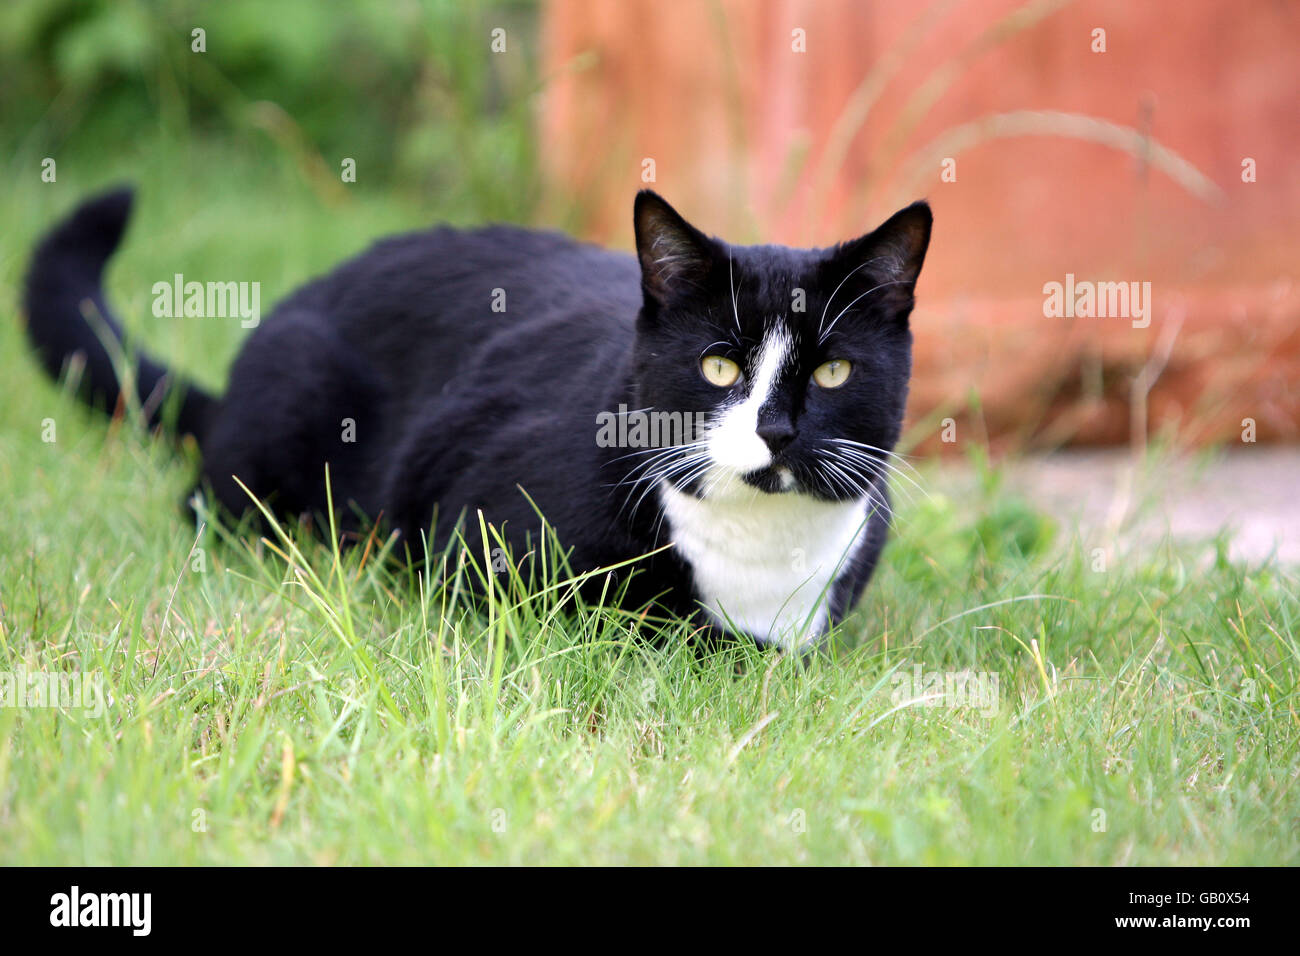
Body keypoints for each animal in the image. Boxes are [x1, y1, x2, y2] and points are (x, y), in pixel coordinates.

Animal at [25, 187, 930, 650]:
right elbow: (647, 629)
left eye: (833, 370)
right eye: (720, 367)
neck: (756, 550)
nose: (776, 431)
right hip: (289, 407)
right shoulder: (481, 544)